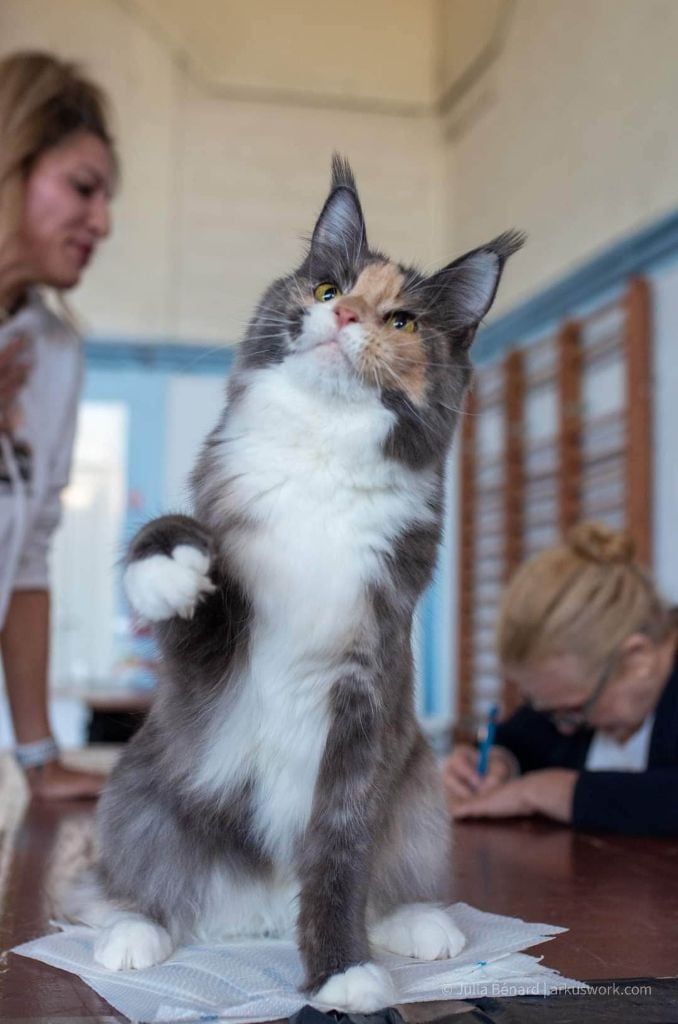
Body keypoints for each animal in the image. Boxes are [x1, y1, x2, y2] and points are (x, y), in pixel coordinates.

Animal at [73, 155, 520, 1011]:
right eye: (325, 286)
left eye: (401, 321)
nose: (343, 315)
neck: (322, 461)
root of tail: (259, 916)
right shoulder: (214, 654)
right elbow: (177, 549)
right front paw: (168, 569)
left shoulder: (363, 690)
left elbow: (340, 857)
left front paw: (342, 972)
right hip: (137, 792)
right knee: (139, 881)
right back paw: (134, 931)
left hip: (418, 795)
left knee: (389, 878)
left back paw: (419, 924)